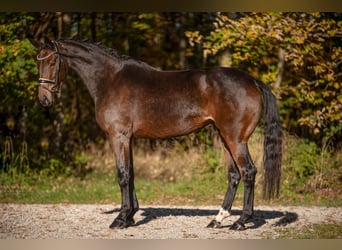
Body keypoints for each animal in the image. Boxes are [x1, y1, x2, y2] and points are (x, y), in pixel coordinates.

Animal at [29, 36, 282, 230]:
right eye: (38, 62)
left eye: (53, 61)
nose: (44, 99)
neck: (110, 80)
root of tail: (251, 80)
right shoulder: (128, 139)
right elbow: (130, 174)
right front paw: (130, 216)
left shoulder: (118, 137)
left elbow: (122, 175)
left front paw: (120, 219)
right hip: (224, 137)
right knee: (234, 175)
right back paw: (217, 220)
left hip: (236, 139)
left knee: (248, 172)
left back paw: (241, 221)